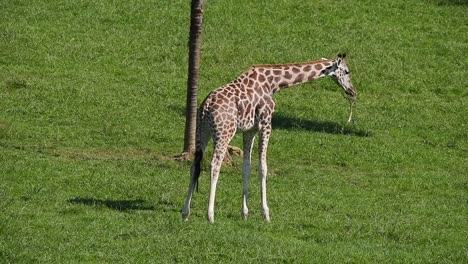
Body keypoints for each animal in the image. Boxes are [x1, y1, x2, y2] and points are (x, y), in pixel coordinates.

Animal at [182, 52, 354, 222]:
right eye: (347, 71)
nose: (352, 91)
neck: (273, 83)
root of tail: (206, 106)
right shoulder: (266, 123)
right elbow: (263, 168)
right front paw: (266, 213)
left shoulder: (249, 130)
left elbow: (247, 167)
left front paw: (244, 213)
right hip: (224, 132)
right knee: (214, 165)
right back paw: (210, 215)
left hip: (202, 132)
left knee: (194, 165)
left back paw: (185, 212)